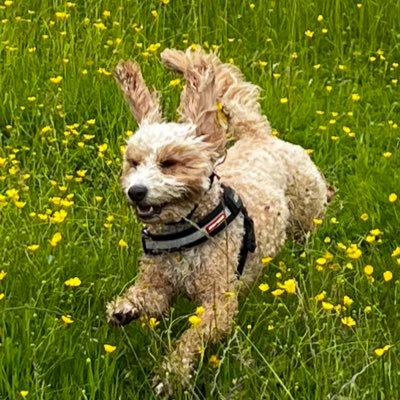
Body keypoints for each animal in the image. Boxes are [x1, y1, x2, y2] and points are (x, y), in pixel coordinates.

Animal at [107, 48, 332, 396]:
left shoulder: (218, 301)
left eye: (169, 163)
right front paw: (125, 307)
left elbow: (193, 336)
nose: (136, 191)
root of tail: (259, 135)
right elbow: (150, 298)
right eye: (133, 162)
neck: (187, 228)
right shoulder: (159, 282)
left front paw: (172, 373)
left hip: (307, 208)